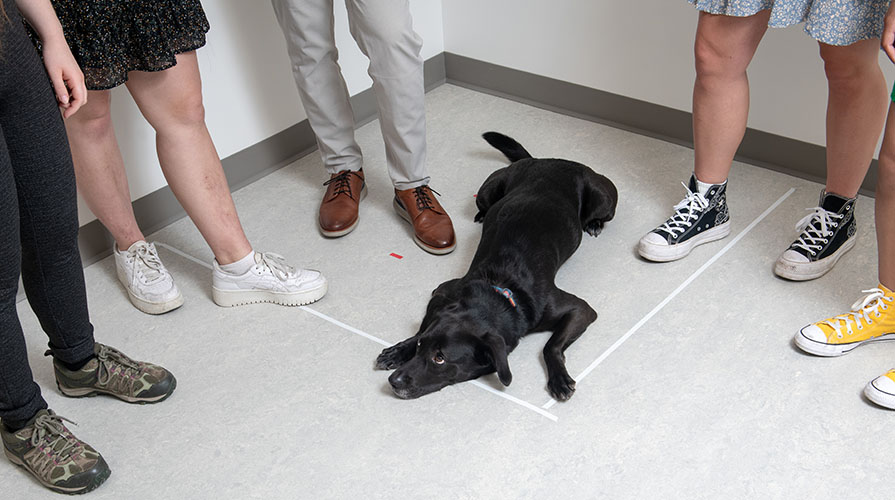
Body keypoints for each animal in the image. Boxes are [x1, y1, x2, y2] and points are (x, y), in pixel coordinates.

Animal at [374, 131, 620, 400]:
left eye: (440, 358)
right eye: (421, 346)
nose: (393, 381)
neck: (499, 290)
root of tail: (547, 159)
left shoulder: (581, 309)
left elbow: (551, 345)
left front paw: (559, 378)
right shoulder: (442, 291)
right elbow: (422, 327)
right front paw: (399, 350)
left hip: (602, 199)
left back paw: (594, 223)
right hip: (487, 190)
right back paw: (482, 215)